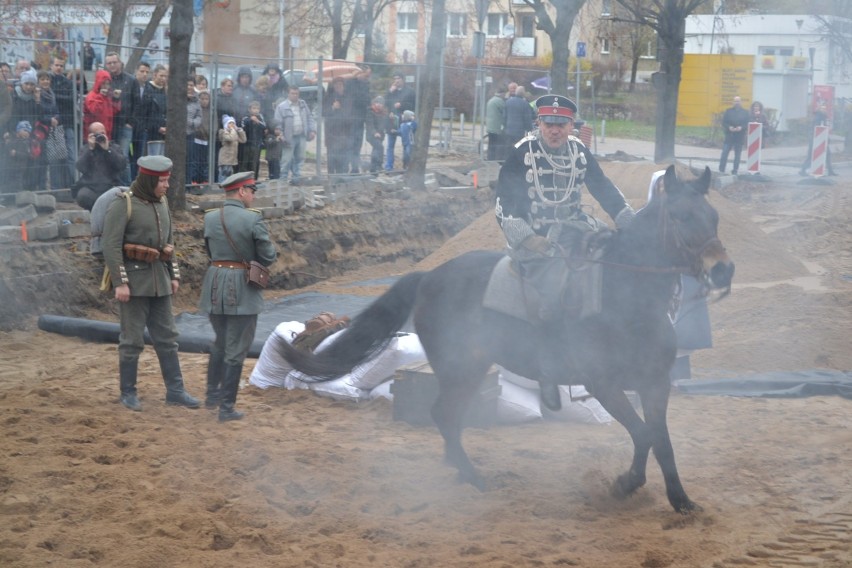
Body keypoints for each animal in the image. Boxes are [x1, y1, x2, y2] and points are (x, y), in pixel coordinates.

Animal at [278, 165, 732, 516]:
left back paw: (459, 468)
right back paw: (472, 477)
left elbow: (660, 440)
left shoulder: (655, 384)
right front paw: (624, 484)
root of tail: (429, 277)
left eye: (713, 216)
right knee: (444, 414)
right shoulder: (604, 384)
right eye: (681, 215)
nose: (722, 270)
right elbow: (644, 435)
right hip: (461, 367)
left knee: (449, 417)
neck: (626, 296)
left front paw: (680, 501)